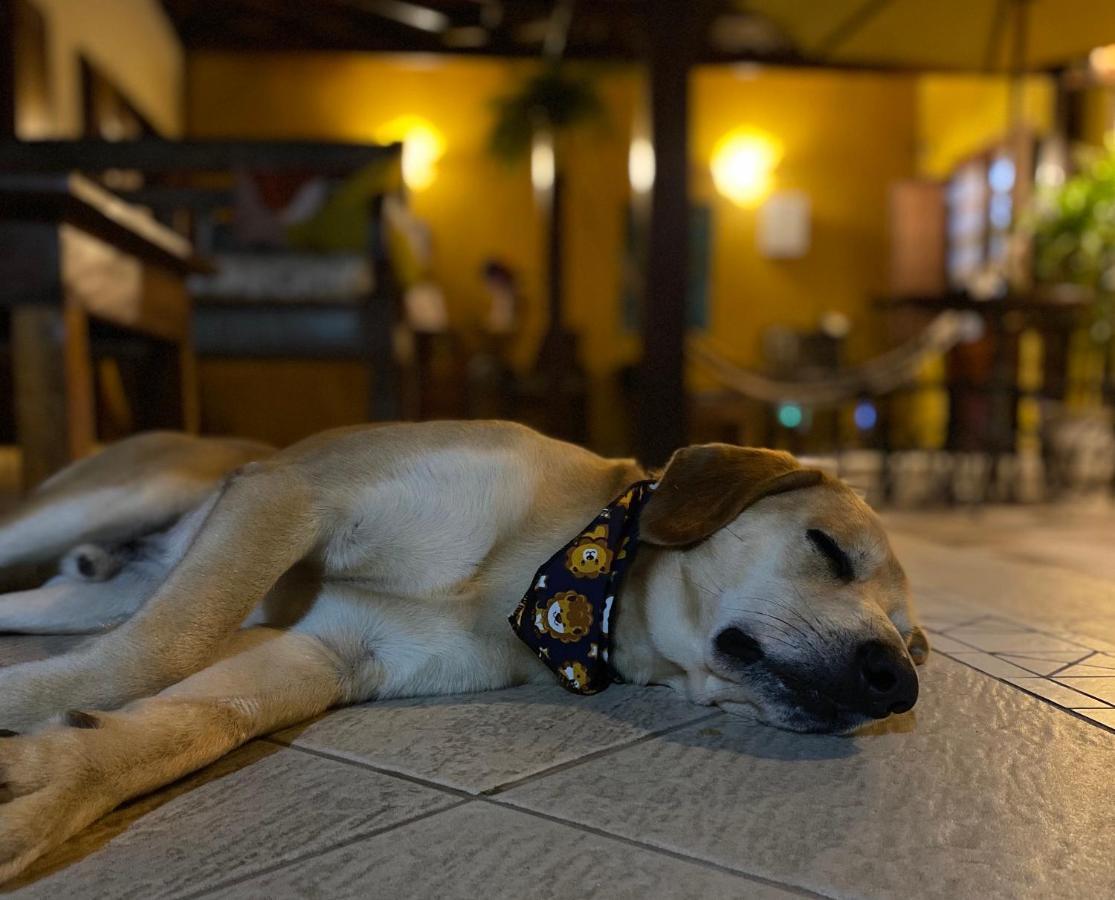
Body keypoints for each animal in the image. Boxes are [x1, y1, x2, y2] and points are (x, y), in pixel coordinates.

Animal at [0, 421, 927, 878]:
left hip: (93, 590)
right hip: (100, 503)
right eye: (829, 550)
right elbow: (157, 653)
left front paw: (56, 781)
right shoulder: (293, 492)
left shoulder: (328, 653)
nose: (895, 682)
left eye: (916, 645)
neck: (546, 574)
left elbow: (193, 722)